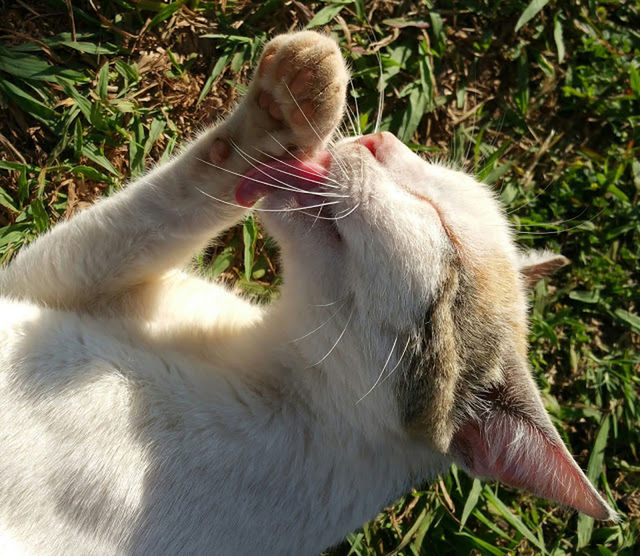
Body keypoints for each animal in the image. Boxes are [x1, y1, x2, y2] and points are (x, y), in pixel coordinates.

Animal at [0, 31, 612, 556]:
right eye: (420, 162)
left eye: (440, 222)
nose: (379, 140)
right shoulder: (44, 280)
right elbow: (170, 203)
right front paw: (276, 114)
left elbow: (144, 216)